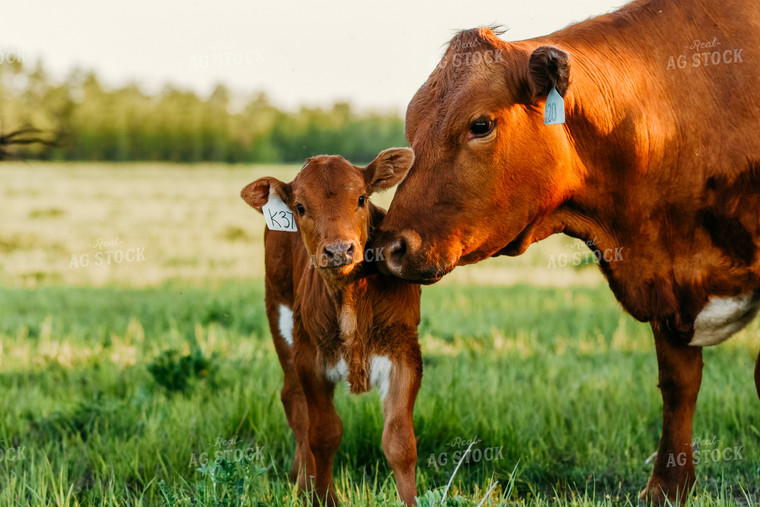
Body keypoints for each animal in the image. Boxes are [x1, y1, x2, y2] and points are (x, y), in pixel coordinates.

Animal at [240, 149, 422, 506]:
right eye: (300, 207)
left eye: (362, 198)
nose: (339, 250)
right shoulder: (310, 360)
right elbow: (323, 434)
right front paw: (322, 497)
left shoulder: (405, 355)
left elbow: (400, 443)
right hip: (279, 317)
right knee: (295, 403)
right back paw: (302, 482)